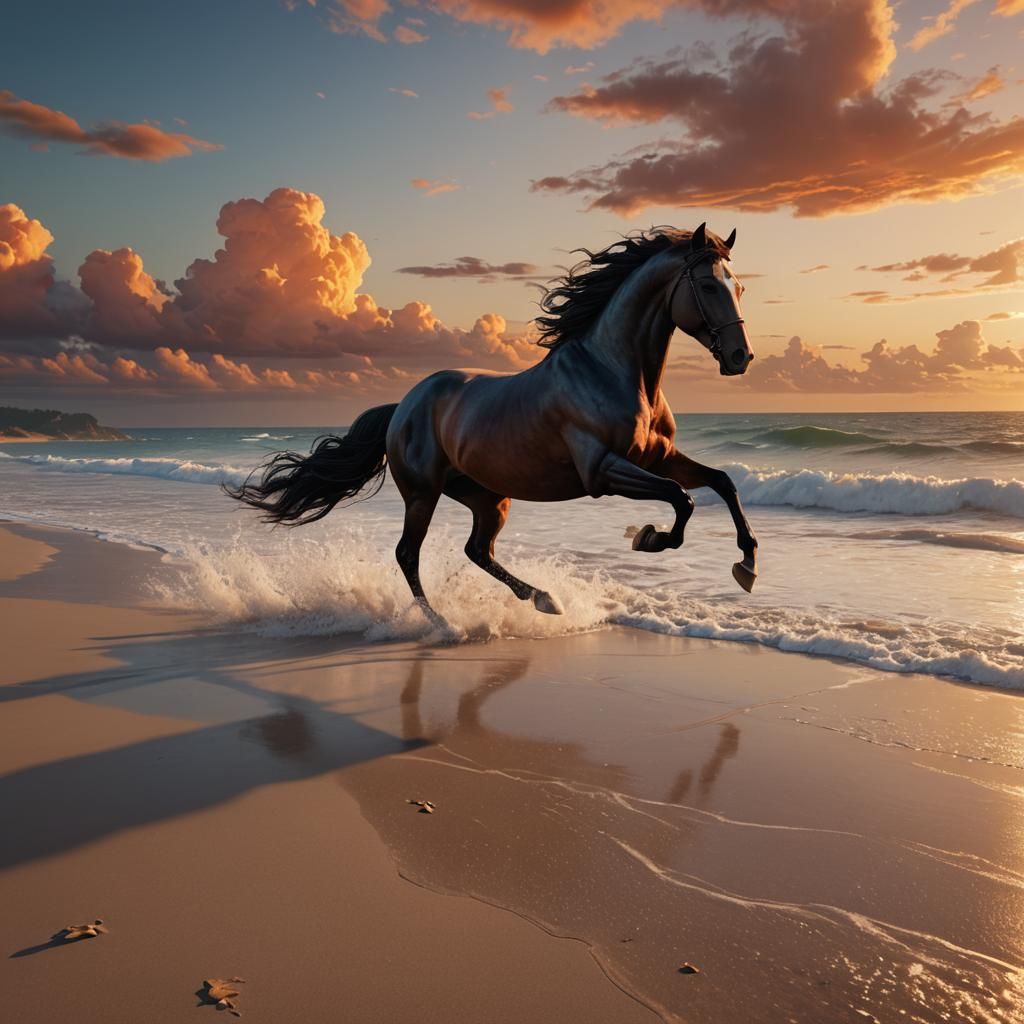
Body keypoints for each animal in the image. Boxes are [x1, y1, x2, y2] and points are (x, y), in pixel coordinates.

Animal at [226, 223, 759, 626]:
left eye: (739, 287)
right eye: (708, 286)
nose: (740, 357)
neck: (614, 370)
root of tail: (404, 404)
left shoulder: (659, 457)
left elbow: (721, 482)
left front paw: (747, 564)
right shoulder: (603, 471)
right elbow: (682, 498)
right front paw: (649, 538)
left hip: (487, 496)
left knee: (476, 549)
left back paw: (544, 599)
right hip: (422, 493)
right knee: (407, 553)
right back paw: (441, 623)